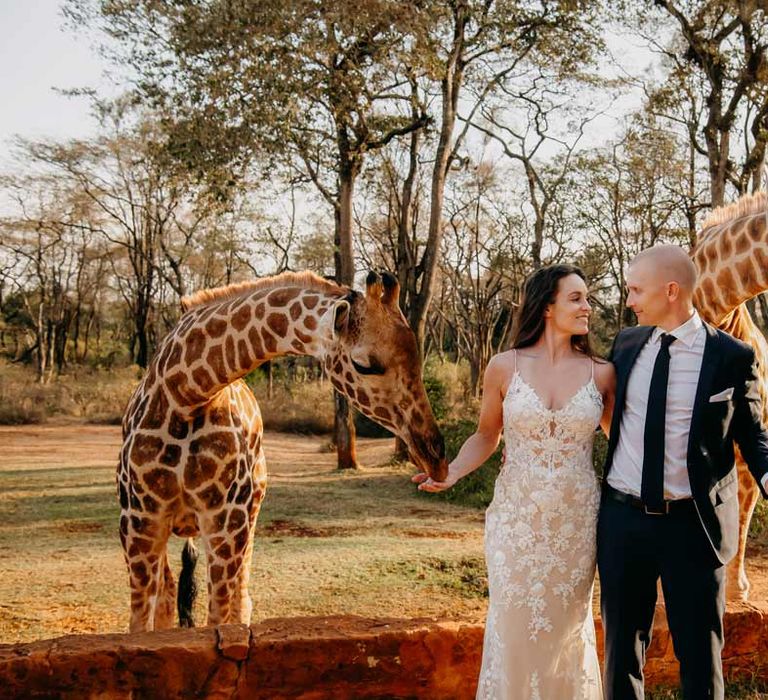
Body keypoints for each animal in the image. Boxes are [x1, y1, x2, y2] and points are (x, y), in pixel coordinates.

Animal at [117, 270, 448, 632]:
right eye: (364, 365)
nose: (435, 458)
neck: (187, 394)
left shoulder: (225, 522)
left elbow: (219, 618)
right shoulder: (138, 522)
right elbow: (140, 625)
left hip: (249, 516)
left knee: (241, 599)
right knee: (169, 594)